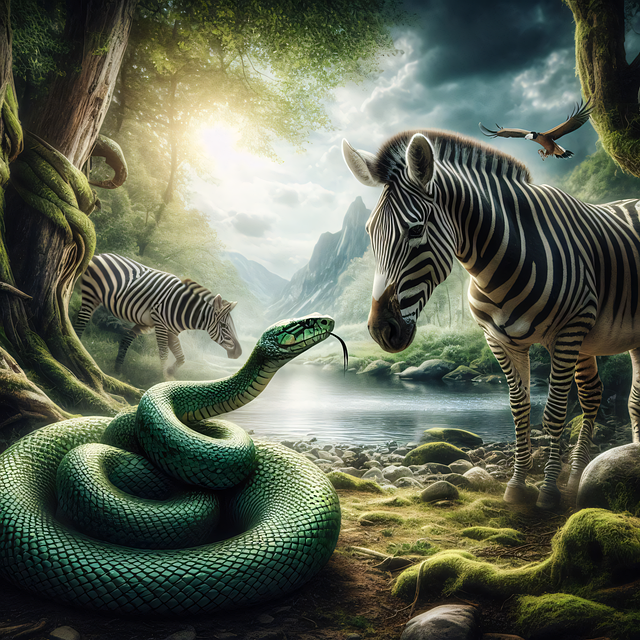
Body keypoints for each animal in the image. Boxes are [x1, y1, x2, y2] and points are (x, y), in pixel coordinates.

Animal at [75, 253, 242, 378]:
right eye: (224, 326)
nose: (239, 353)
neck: (184, 309)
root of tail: (100, 255)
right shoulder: (161, 325)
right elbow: (164, 354)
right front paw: (162, 378)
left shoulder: (171, 331)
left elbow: (181, 357)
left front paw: (170, 372)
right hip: (91, 294)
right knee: (81, 321)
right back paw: (79, 348)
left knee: (126, 337)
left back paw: (117, 368)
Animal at [343, 128, 640, 510]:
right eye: (369, 232)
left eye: (416, 230)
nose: (381, 330)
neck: (500, 263)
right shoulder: (499, 339)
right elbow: (519, 409)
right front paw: (517, 488)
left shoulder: (567, 333)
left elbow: (554, 412)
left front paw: (547, 492)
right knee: (600, 396)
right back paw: (580, 478)